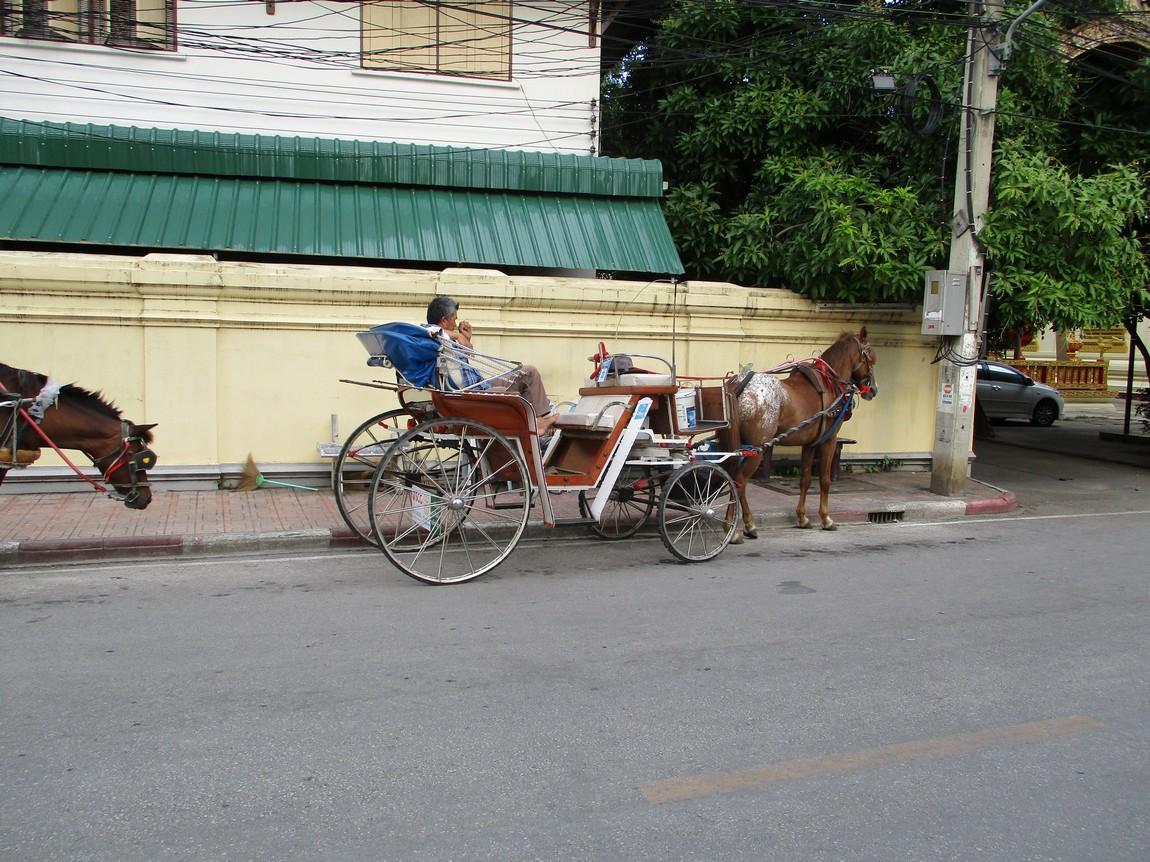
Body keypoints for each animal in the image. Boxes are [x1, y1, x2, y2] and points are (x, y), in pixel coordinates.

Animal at [722, 331, 874, 540]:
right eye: (871, 357)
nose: (873, 389)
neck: (829, 381)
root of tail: (738, 384)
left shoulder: (809, 444)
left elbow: (806, 480)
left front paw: (802, 517)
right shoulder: (829, 441)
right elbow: (825, 480)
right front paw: (826, 518)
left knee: (732, 478)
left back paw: (731, 524)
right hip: (757, 448)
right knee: (740, 481)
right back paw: (746, 524)